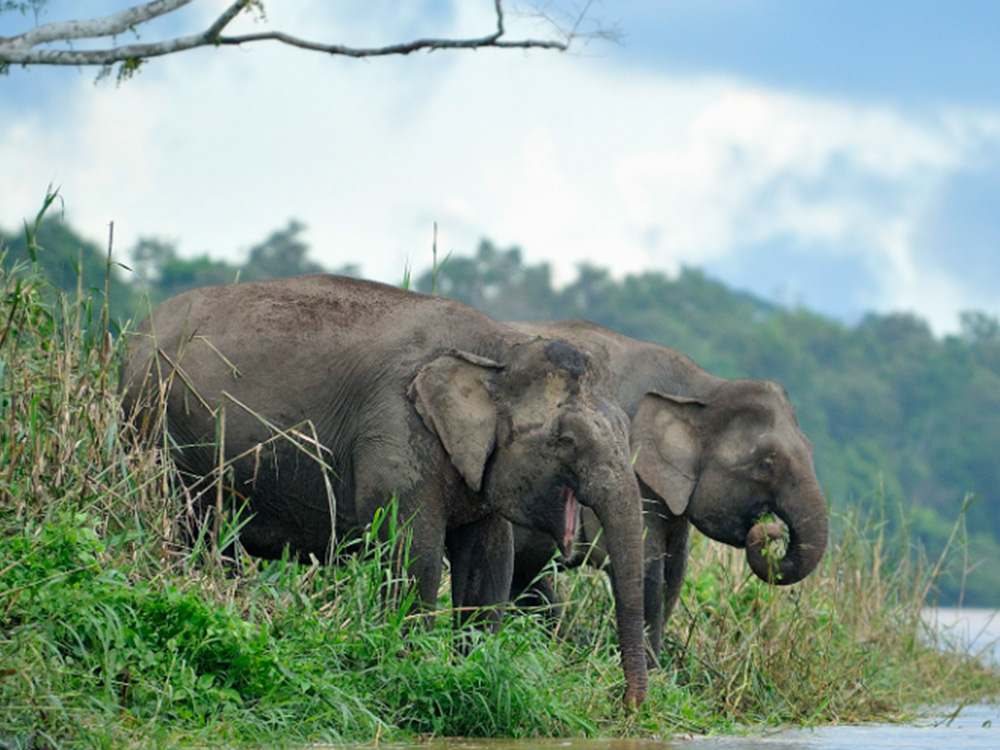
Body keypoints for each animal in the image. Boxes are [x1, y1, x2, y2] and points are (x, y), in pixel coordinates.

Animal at [120, 274, 649, 706]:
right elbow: (416, 555)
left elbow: (490, 562)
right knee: (194, 532)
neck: (500, 346)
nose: (629, 704)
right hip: (160, 436)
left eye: (627, 429)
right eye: (566, 440)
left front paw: (472, 675)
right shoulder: (395, 430)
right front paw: (410, 673)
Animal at [508, 319, 829, 664]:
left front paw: (658, 667)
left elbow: (675, 570)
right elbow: (647, 567)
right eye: (766, 464)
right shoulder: (626, 464)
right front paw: (652, 668)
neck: (700, 388)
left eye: (810, 448)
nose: (770, 529)